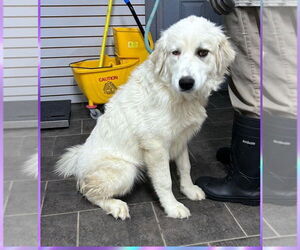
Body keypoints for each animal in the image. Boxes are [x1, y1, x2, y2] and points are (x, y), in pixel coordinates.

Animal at [55, 15, 236, 220]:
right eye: (175, 52)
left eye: (203, 52)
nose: (186, 83)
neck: (175, 96)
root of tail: (78, 160)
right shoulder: (156, 147)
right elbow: (165, 181)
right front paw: (172, 207)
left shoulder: (181, 139)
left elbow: (185, 167)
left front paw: (188, 190)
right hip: (126, 170)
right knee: (88, 191)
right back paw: (116, 206)